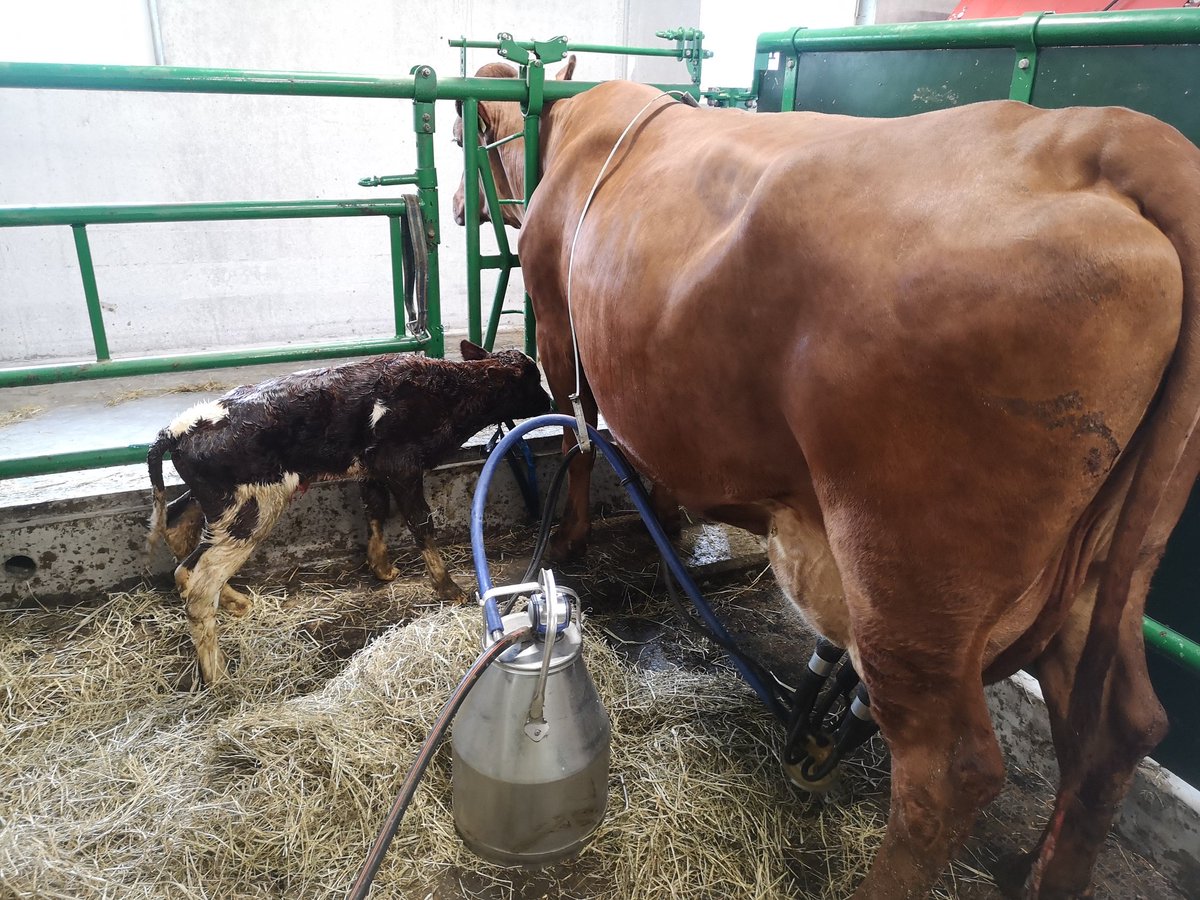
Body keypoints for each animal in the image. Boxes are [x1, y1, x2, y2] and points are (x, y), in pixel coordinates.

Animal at [146, 341, 551, 686]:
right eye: (533, 379)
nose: (549, 400)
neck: (446, 391)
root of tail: (180, 427)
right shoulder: (403, 465)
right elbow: (420, 522)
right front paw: (449, 588)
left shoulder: (373, 469)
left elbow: (375, 508)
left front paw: (382, 567)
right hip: (251, 510)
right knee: (200, 586)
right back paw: (217, 675)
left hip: (217, 505)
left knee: (180, 536)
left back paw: (236, 602)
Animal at [453, 64, 1200, 899]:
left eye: (457, 135)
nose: (455, 205)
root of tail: (1109, 134)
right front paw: (667, 515)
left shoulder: (558, 325)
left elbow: (579, 441)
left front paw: (575, 538)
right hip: (1105, 566)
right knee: (1119, 723)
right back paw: (1042, 871)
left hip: (911, 572)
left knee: (950, 769)